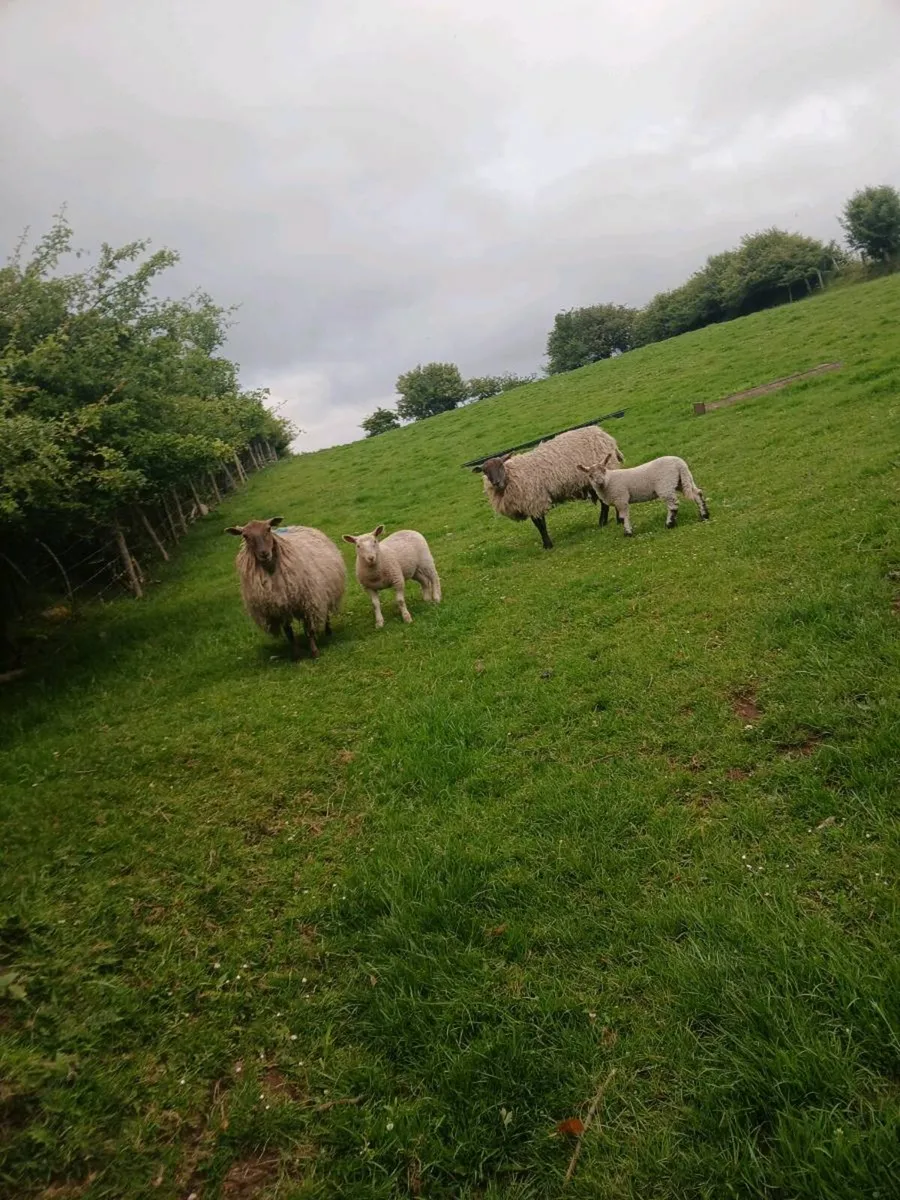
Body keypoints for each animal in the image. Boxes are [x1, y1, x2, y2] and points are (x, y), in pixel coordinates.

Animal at [225, 517, 346, 659]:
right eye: (245, 536)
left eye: (268, 529)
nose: (264, 554)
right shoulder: (279, 608)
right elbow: (289, 633)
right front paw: (296, 654)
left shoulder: (306, 602)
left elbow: (309, 629)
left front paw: (314, 652)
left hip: (323, 592)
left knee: (325, 612)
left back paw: (328, 631)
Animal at [475, 425, 624, 550]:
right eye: (485, 471)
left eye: (501, 466)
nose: (496, 483)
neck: (512, 476)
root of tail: (604, 435)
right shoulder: (530, 504)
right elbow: (538, 525)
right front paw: (546, 544)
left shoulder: (535, 501)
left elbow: (540, 525)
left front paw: (548, 545)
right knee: (605, 503)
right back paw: (605, 522)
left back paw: (613, 521)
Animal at [576, 454, 709, 537]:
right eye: (590, 475)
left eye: (603, 470)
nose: (599, 482)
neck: (609, 481)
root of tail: (680, 463)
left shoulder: (621, 498)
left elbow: (624, 517)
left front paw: (628, 533)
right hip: (682, 481)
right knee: (697, 494)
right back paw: (704, 515)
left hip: (665, 485)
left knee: (673, 505)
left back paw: (669, 524)